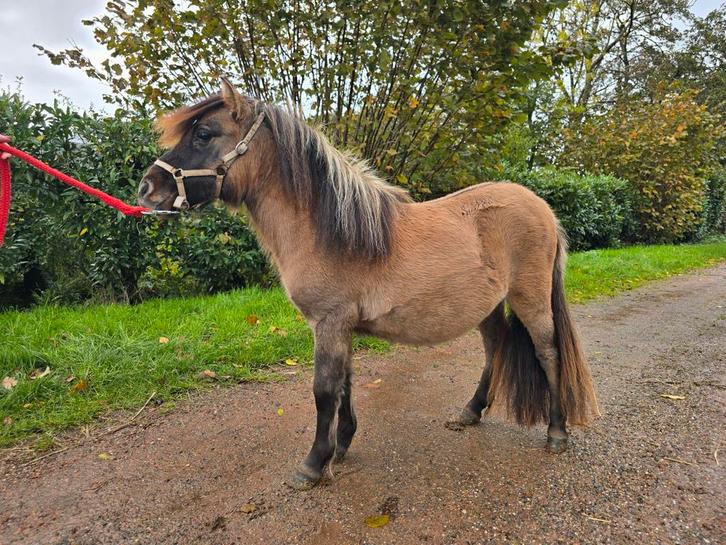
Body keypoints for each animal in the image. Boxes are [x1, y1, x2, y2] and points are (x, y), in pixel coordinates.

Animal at [138, 78, 600, 490]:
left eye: (203, 133)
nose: (147, 188)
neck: (333, 231)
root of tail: (542, 207)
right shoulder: (339, 327)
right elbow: (344, 384)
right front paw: (341, 445)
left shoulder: (330, 322)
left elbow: (324, 391)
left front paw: (313, 465)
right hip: (488, 308)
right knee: (496, 349)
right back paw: (470, 413)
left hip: (530, 298)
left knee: (548, 352)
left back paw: (556, 432)